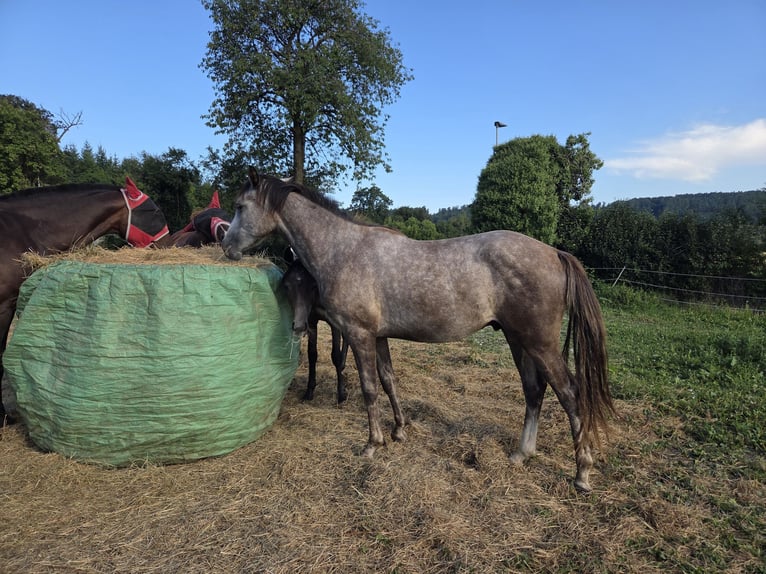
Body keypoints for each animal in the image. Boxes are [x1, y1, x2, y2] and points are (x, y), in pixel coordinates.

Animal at [281, 256, 350, 403]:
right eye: (286, 285)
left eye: (312, 286)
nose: (299, 326)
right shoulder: (311, 321)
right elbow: (312, 354)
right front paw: (309, 391)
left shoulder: (334, 323)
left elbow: (335, 355)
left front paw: (341, 394)